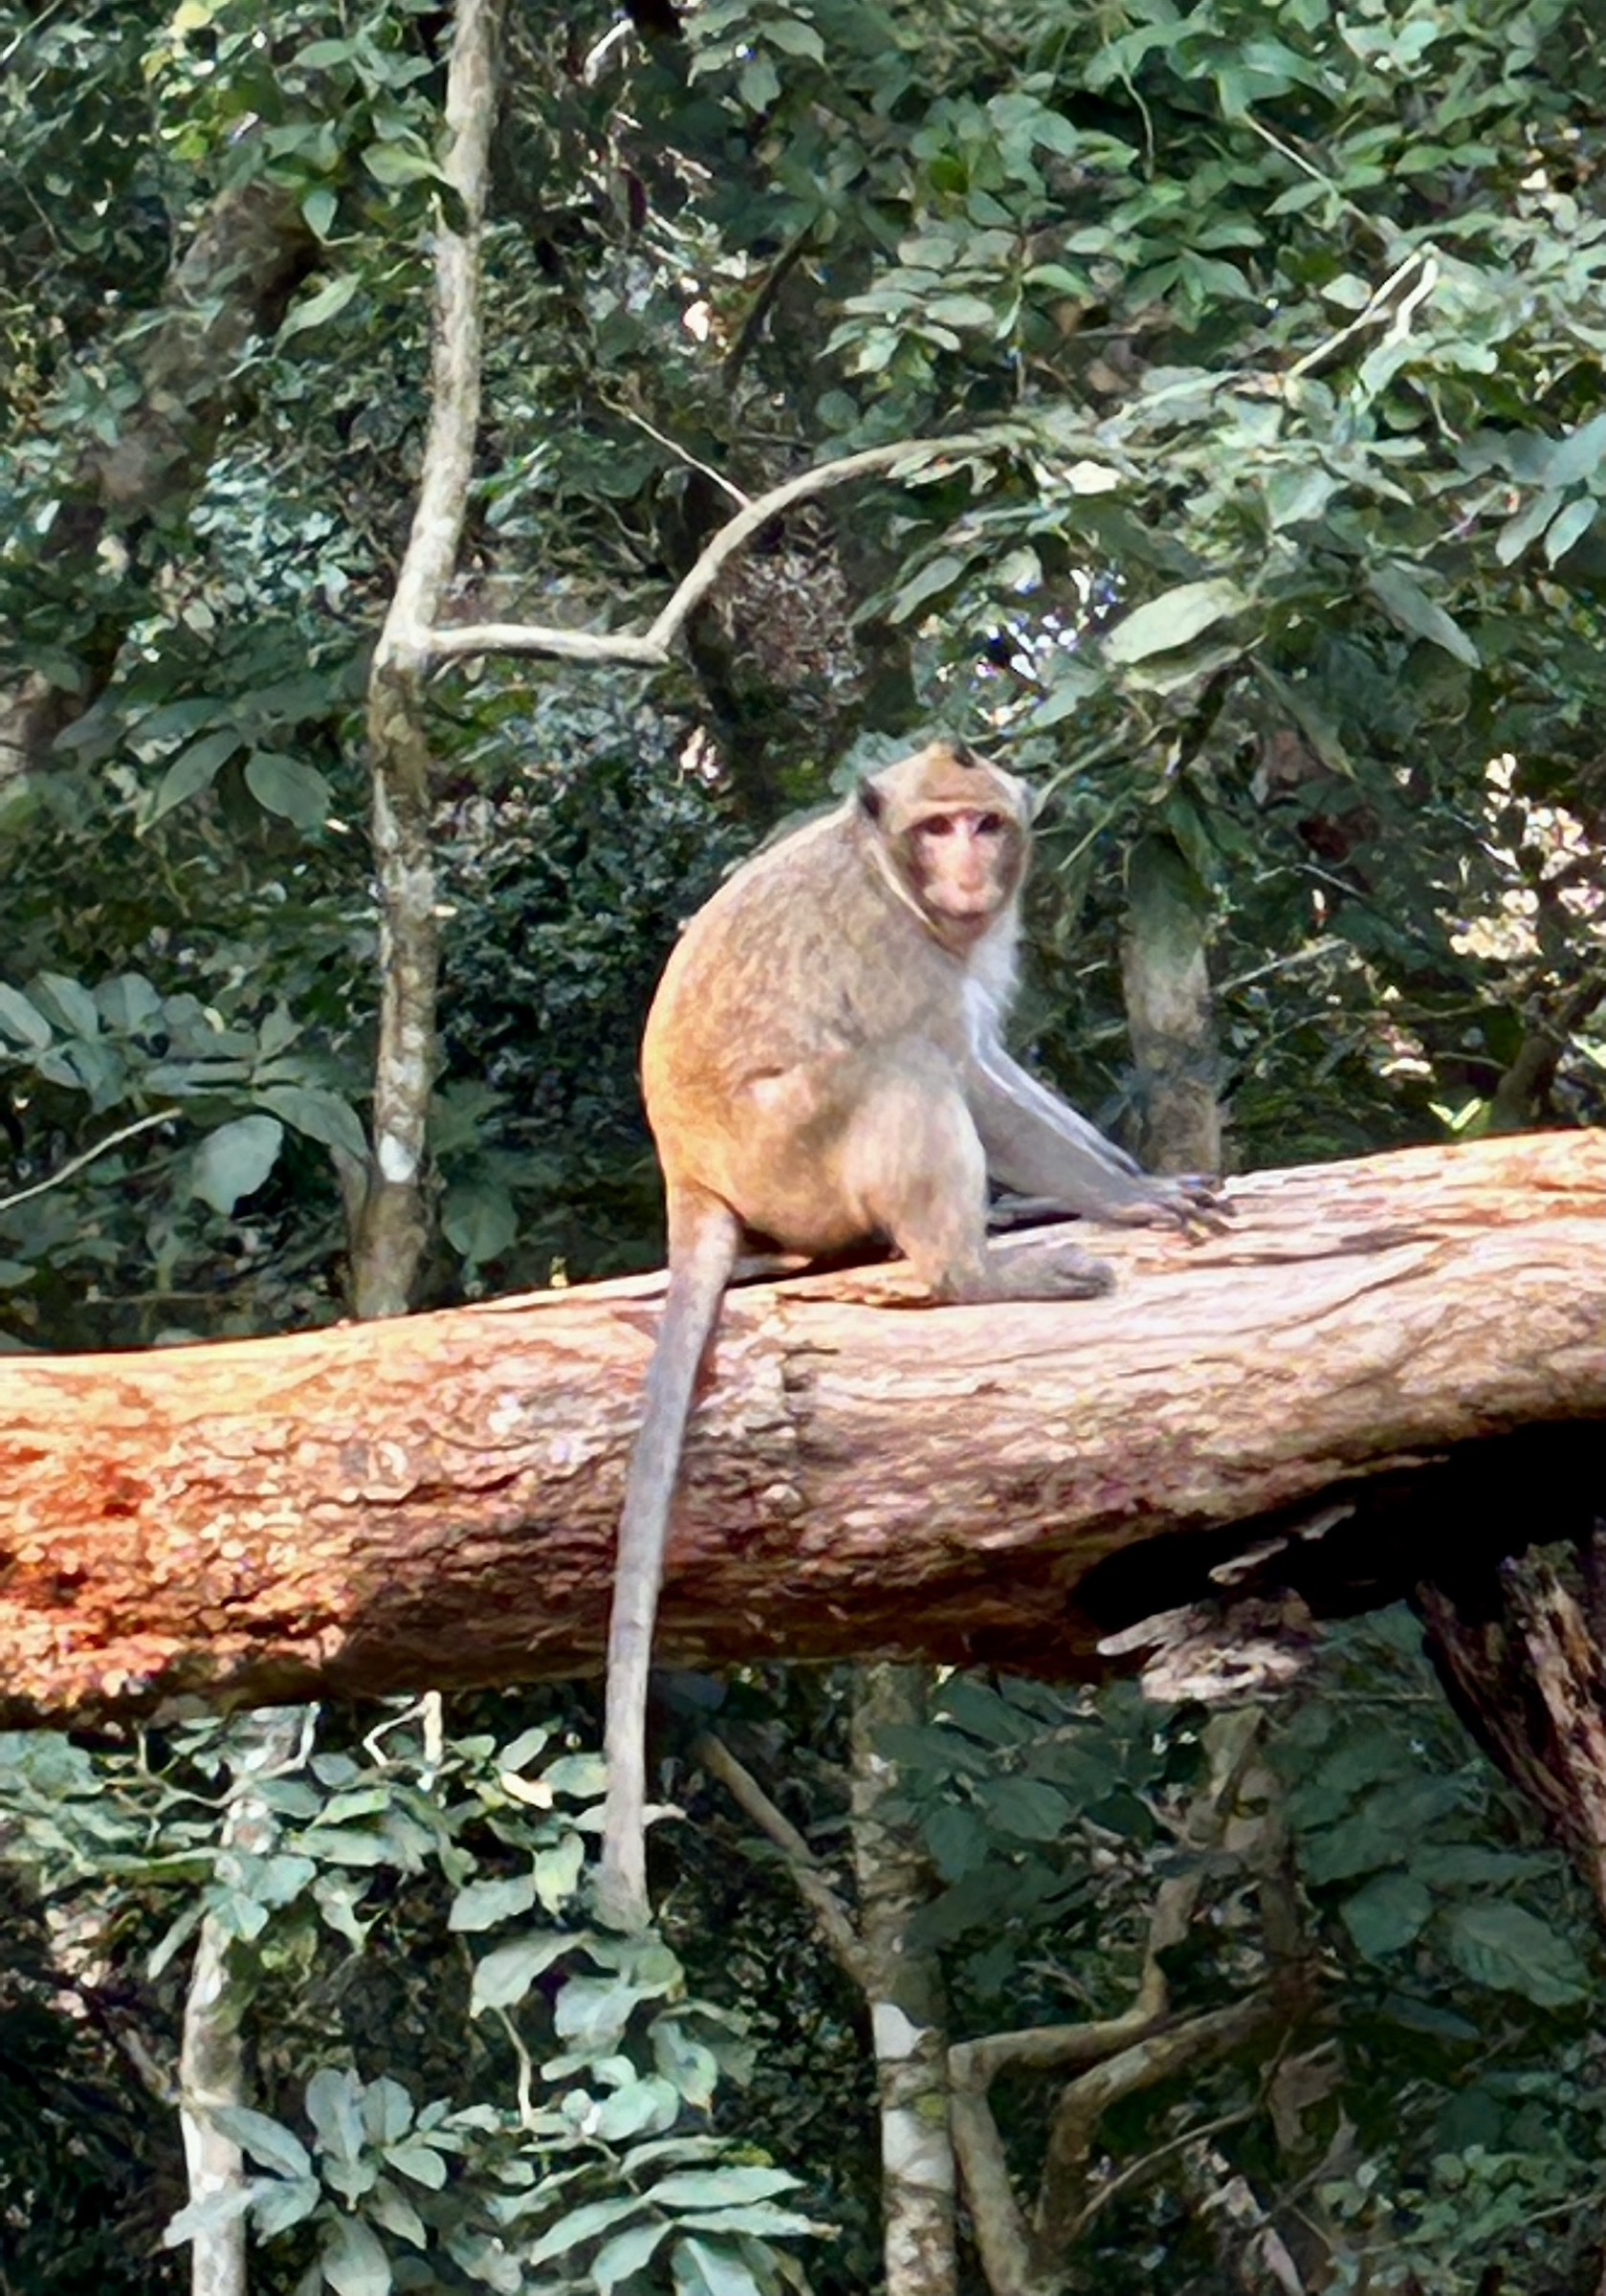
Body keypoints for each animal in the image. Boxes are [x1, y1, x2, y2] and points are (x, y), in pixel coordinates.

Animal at [596, 743, 1221, 1929]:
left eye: (984, 824)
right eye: (935, 830)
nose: (969, 871)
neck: (894, 883)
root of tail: (686, 1177)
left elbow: (995, 1060)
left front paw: (1126, 1172)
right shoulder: (894, 954)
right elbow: (964, 1070)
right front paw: (1124, 1200)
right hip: (791, 1158)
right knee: (902, 1069)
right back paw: (972, 1272)